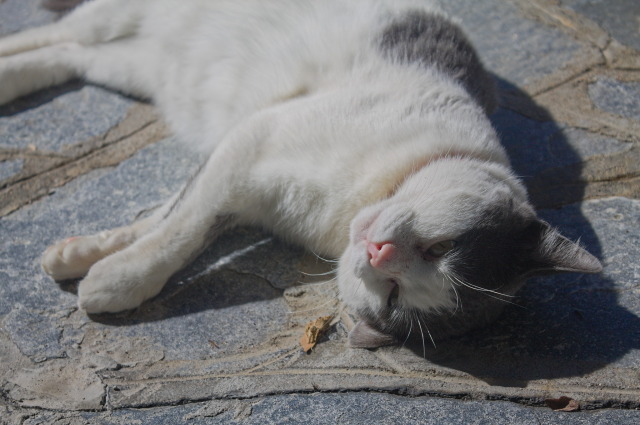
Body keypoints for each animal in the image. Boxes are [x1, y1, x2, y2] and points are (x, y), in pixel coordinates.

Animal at [0, 0, 604, 350]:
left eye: (393, 298)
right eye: (441, 247)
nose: (380, 253)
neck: (350, 209)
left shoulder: (240, 165)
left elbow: (168, 216)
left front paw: (85, 255)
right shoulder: (252, 139)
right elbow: (182, 230)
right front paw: (119, 278)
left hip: (139, 65)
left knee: (69, 54)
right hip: (118, 17)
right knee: (58, 33)